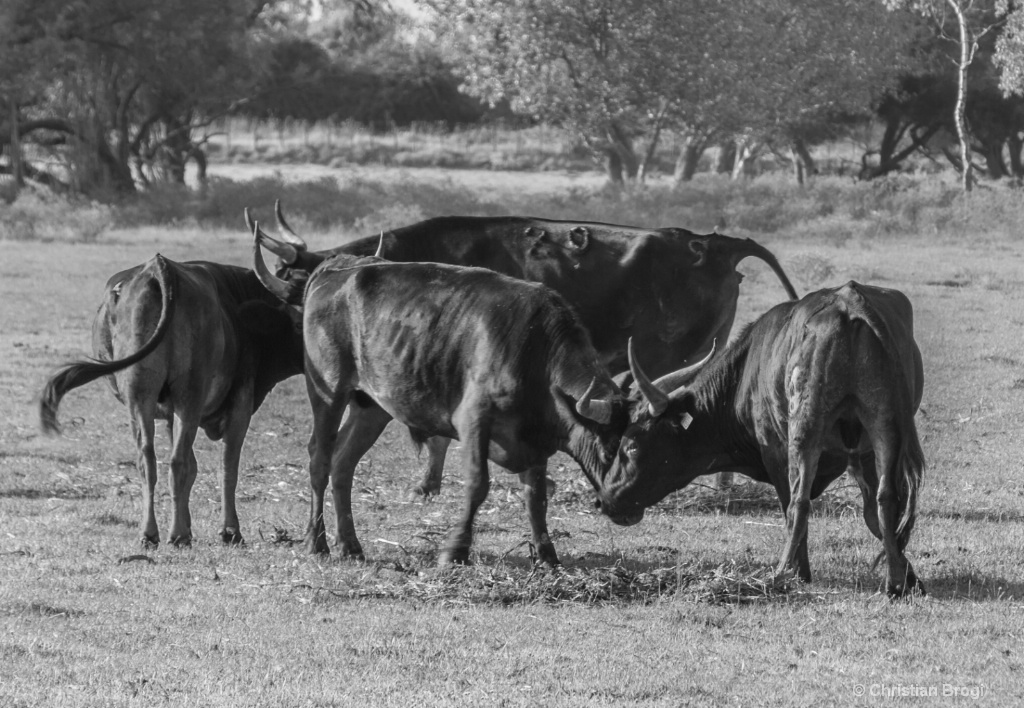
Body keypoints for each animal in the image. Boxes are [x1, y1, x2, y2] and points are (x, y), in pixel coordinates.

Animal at [39, 255, 303, 549]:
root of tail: (158, 267)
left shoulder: (167, 414)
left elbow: (193, 468)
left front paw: (189, 526)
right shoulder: (240, 403)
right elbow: (227, 467)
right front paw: (229, 531)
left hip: (140, 399)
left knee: (148, 461)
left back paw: (150, 532)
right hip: (188, 398)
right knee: (177, 463)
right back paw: (176, 535)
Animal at [598, 282, 929, 598]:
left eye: (631, 445)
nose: (604, 498)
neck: (744, 374)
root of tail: (850, 305)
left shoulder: (776, 452)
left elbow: (790, 507)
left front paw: (799, 572)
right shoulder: (863, 455)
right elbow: (875, 514)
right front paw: (907, 575)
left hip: (804, 430)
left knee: (799, 502)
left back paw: (780, 572)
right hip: (885, 426)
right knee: (886, 499)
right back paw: (894, 583)